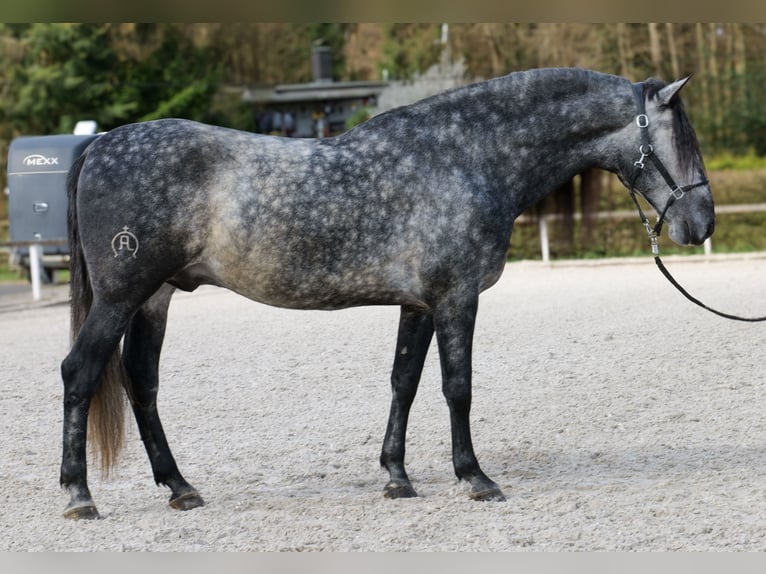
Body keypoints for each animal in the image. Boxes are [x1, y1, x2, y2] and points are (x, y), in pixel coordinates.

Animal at [60, 67, 715, 519]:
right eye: (679, 139)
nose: (702, 223)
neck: (468, 156)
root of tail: (102, 145)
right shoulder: (456, 299)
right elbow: (457, 387)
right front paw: (475, 478)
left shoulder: (419, 304)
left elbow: (404, 381)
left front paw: (397, 477)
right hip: (122, 297)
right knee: (81, 372)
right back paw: (78, 496)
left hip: (156, 297)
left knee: (142, 383)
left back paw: (180, 488)